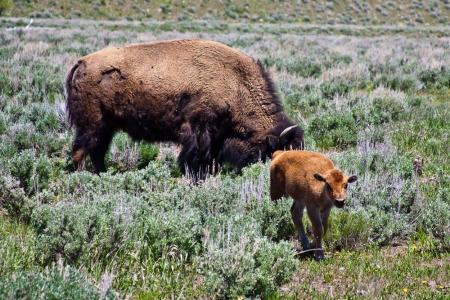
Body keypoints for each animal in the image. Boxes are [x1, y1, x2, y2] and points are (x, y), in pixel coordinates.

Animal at [65, 38, 304, 179]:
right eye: (278, 152)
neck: (236, 82)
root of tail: (82, 62)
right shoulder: (199, 129)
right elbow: (195, 157)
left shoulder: (216, 136)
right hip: (92, 124)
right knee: (82, 149)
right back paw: (83, 177)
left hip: (106, 126)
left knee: (97, 150)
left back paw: (101, 174)